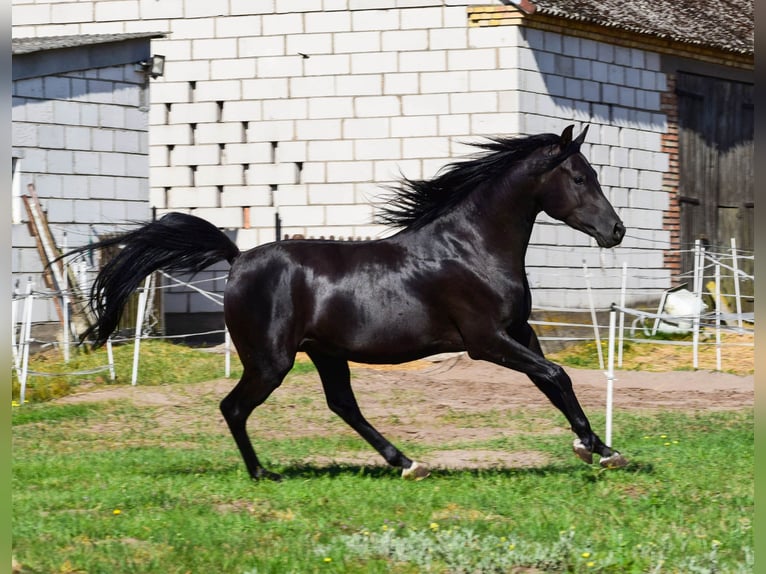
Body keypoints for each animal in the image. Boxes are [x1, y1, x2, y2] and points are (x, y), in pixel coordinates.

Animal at [70, 124, 627, 481]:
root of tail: (238, 257)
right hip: (271, 361)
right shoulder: (486, 341)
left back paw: (407, 463)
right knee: (234, 407)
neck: (471, 247)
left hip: (326, 353)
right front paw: (601, 453)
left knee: (342, 405)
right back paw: (263, 473)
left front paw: (595, 447)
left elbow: (551, 381)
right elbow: (557, 375)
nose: (616, 231)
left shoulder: (520, 332)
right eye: (580, 177)